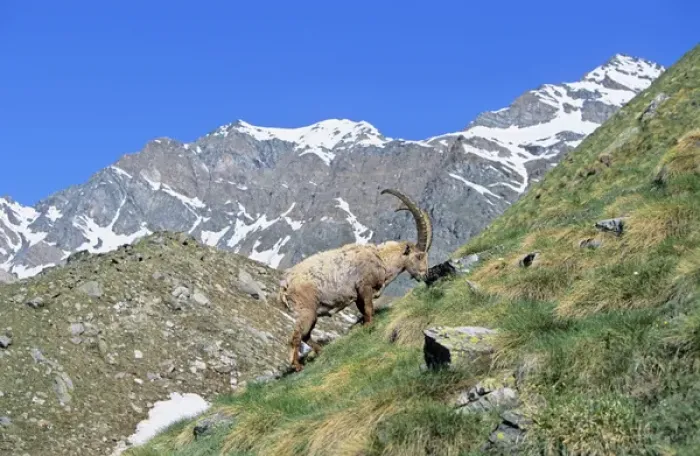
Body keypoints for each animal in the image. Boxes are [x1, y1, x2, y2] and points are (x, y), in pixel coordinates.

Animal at [278, 188, 433, 371]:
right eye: (419, 256)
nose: (425, 275)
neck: (381, 259)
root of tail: (286, 283)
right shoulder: (364, 287)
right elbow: (369, 309)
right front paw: (370, 327)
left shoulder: (358, 294)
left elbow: (364, 311)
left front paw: (365, 326)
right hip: (306, 310)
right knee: (296, 336)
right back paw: (297, 365)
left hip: (312, 313)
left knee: (306, 335)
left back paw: (321, 351)